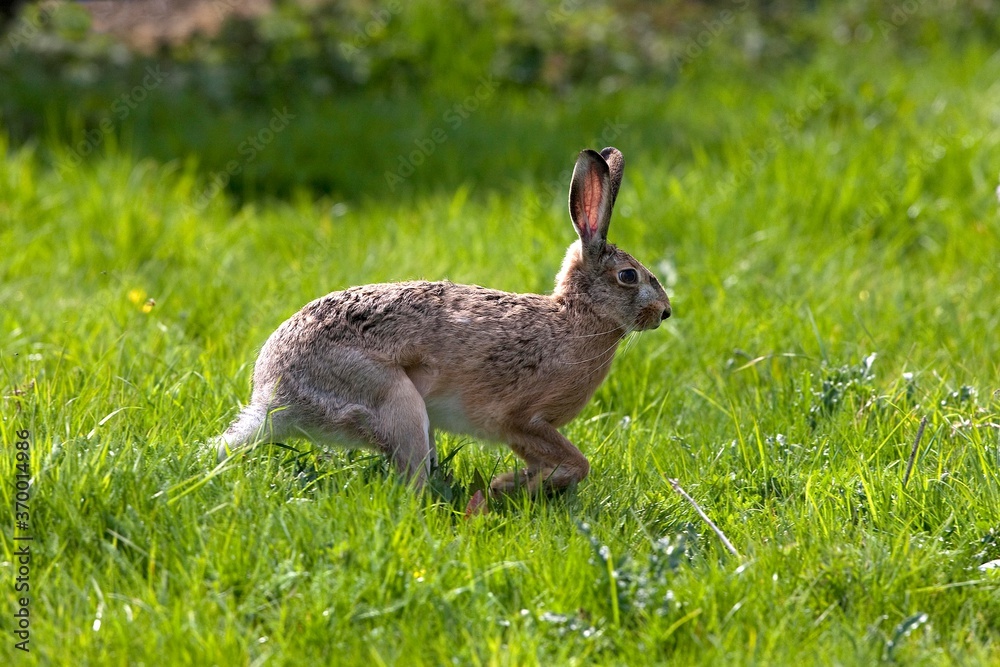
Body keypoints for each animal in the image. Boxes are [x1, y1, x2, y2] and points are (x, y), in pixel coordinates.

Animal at [214, 147, 671, 495]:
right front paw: (509, 485)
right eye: (628, 277)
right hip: (396, 402)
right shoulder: (522, 420)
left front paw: (514, 484)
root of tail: (274, 397)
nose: (665, 313)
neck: (575, 316)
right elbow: (577, 463)